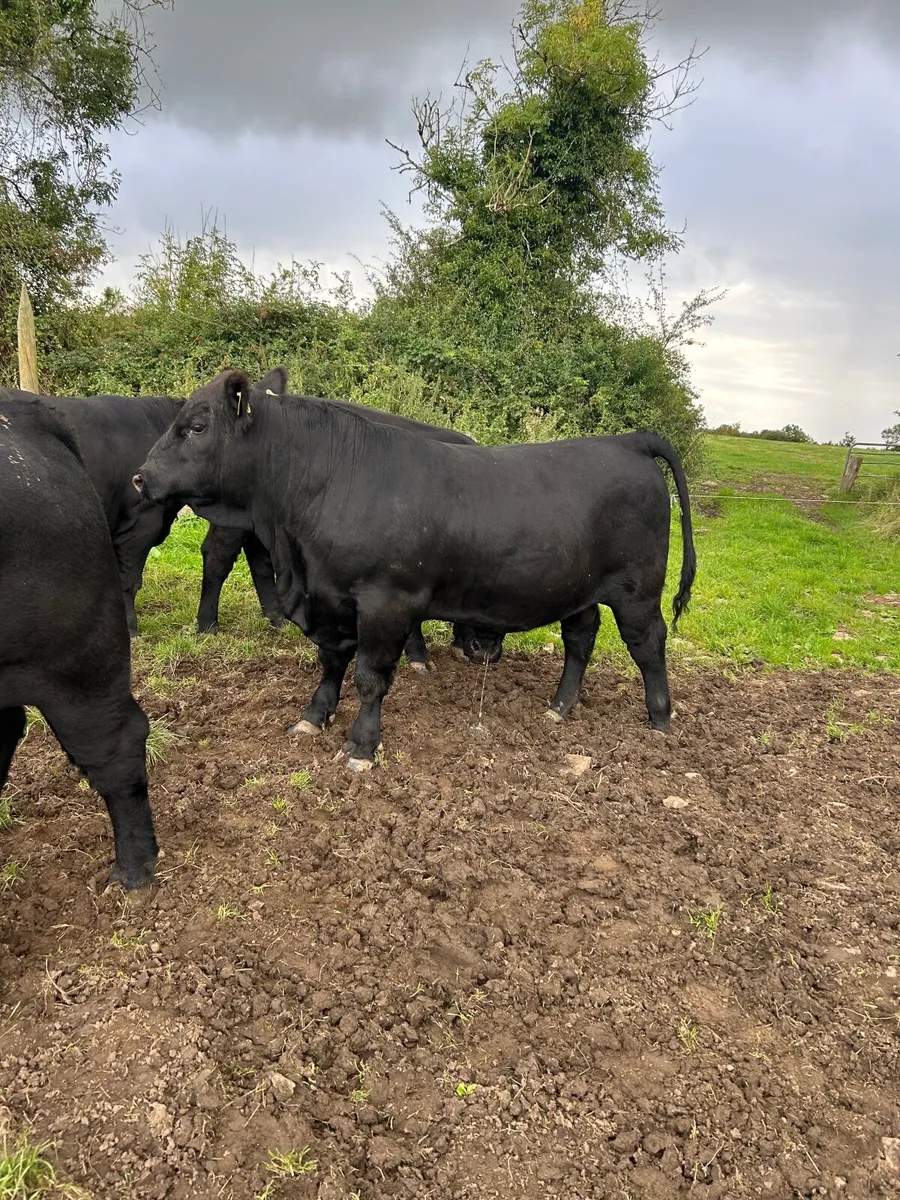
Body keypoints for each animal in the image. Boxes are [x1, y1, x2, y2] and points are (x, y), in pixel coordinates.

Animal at [135, 370, 696, 772]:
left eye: (197, 426)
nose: (140, 477)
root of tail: (626, 440)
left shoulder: (386, 601)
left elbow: (370, 676)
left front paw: (362, 746)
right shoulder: (331, 597)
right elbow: (332, 662)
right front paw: (313, 717)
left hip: (637, 589)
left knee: (648, 643)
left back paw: (660, 721)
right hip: (577, 588)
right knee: (581, 637)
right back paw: (560, 706)